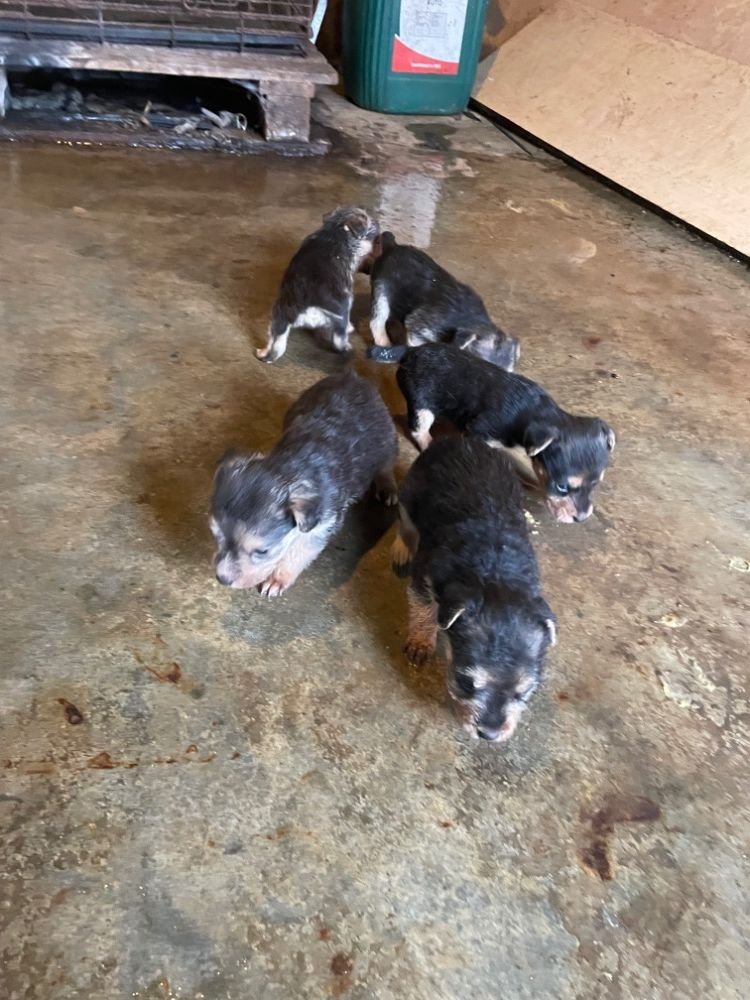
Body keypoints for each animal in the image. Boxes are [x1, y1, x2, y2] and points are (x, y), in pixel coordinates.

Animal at [211, 371, 397, 596]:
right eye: (215, 534)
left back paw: (388, 487)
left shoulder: (320, 525)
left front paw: (277, 579)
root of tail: (353, 377)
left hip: (386, 437)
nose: (222, 578)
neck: (289, 463)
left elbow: (297, 554)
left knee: (386, 464)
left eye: (262, 551)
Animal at [256, 206, 379, 364]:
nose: (377, 223)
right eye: (367, 221)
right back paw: (347, 345)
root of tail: (307, 304)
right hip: (341, 312)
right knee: (339, 339)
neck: (335, 229)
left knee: (275, 342)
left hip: (279, 316)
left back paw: (263, 354)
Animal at [391, 437, 556, 743]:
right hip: (410, 493)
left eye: (524, 692)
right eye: (465, 682)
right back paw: (401, 549)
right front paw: (421, 641)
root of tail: (461, 440)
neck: (495, 572)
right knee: (406, 526)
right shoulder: (424, 575)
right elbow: (423, 609)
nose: (489, 734)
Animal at [395, 344, 615, 523]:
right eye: (561, 486)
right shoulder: (480, 430)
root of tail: (409, 352)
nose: (581, 518)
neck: (535, 413)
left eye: (595, 484)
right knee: (419, 427)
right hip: (421, 403)